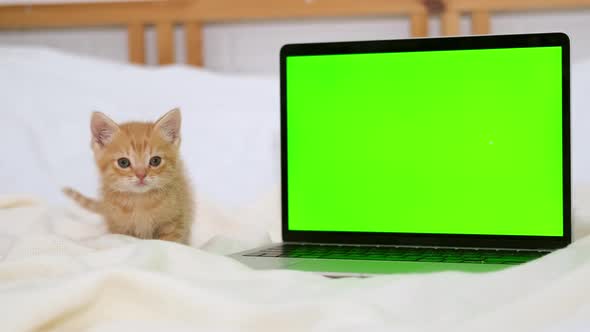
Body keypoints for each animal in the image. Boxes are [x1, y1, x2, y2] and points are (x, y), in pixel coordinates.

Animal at [64, 109, 194, 244]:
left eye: (155, 161)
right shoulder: (118, 227)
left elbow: (171, 242)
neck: (140, 201)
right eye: (123, 162)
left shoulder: (176, 221)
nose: (141, 175)